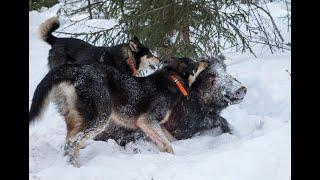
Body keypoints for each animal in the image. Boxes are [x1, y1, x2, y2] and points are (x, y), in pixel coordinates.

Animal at [27, 57, 208, 167]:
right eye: (195, 63)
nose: (206, 60)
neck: (173, 80)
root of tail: (78, 70)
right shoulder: (147, 120)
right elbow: (168, 144)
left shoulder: (152, 125)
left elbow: (166, 140)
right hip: (100, 119)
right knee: (73, 143)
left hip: (77, 120)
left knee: (69, 143)